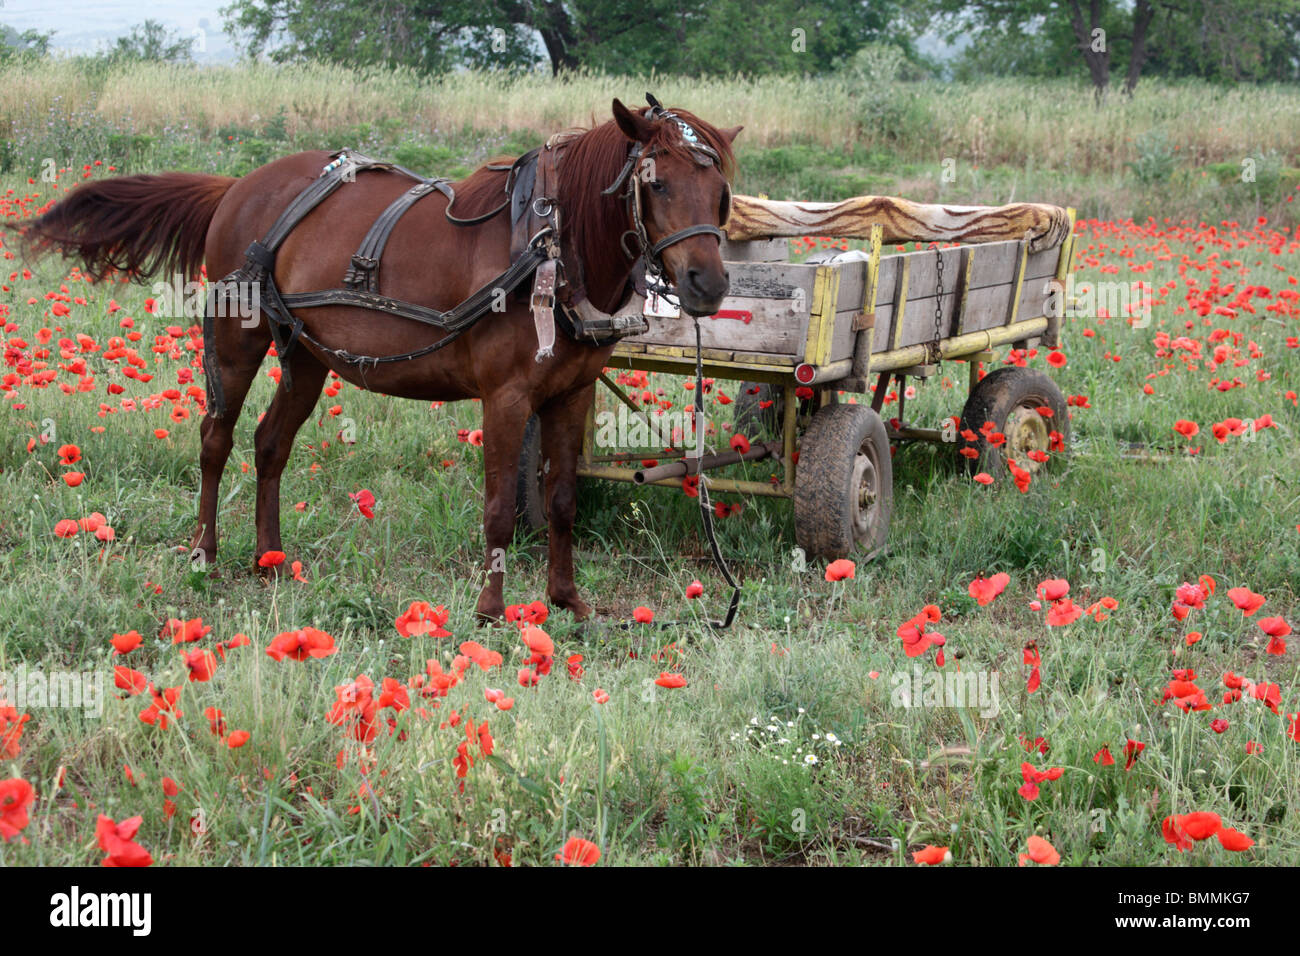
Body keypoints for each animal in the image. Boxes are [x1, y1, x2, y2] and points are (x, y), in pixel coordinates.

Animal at [20, 98, 738, 621]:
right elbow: (498, 507)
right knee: (215, 439)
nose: (707, 283)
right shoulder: (505, 397)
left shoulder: (573, 392)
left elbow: (561, 499)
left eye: (721, 191)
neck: (552, 245)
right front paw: (490, 609)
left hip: (307, 354)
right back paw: (204, 553)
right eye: (656, 183)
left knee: (270, 442)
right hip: (234, 337)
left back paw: (269, 559)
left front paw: (567, 600)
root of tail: (240, 186)